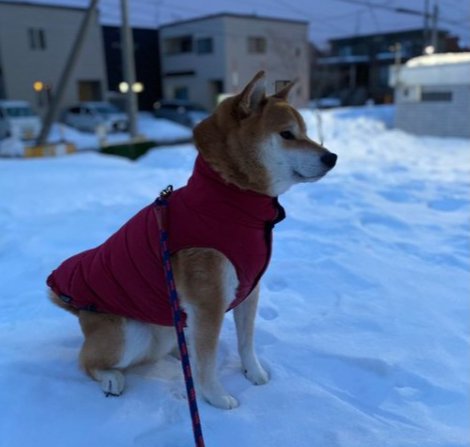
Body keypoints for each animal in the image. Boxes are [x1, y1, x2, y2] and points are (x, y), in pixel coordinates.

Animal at [46, 72, 338, 412]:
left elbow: (246, 342)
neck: (229, 202)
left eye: (306, 132)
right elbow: (208, 362)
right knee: (87, 361)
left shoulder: (248, 289)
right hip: (131, 334)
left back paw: (178, 351)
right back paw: (111, 378)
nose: (332, 157)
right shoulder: (209, 302)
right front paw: (215, 397)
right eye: (287, 134)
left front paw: (254, 373)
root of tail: (77, 309)